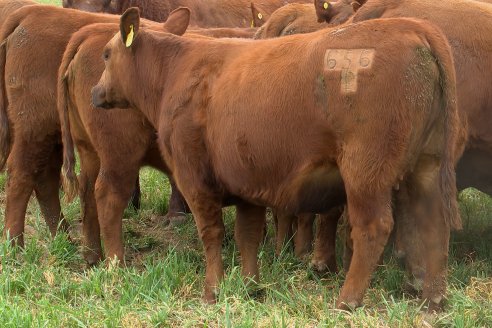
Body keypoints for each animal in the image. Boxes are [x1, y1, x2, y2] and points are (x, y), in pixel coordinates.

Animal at [0, 4, 188, 258]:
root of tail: (32, 11)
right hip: (35, 129)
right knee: (21, 174)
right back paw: (15, 245)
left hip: (59, 138)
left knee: (54, 181)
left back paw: (69, 242)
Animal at [91, 8, 462, 310]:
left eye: (107, 54)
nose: (96, 92)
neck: (177, 71)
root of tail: (413, 27)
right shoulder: (246, 183)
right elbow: (248, 235)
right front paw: (250, 285)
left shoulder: (195, 180)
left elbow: (212, 233)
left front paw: (212, 290)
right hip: (427, 165)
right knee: (435, 222)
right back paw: (433, 297)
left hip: (365, 173)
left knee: (374, 227)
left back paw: (347, 300)